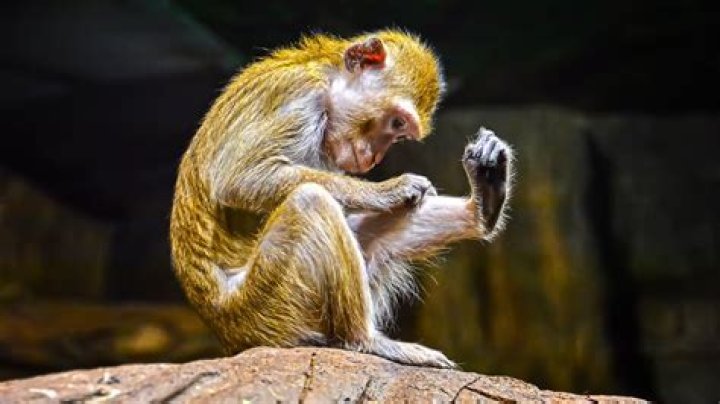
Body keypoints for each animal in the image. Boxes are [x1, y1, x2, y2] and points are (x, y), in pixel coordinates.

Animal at [170, 30, 513, 369]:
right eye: (397, 123)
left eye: (400, 134)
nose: (374, 157)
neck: (327, 80)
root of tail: (230, 337)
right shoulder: (299, 98)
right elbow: (237, 181)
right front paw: (386, 190)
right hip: (264, 308)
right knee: (311, 201)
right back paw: (365, 339)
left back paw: (481, 207)